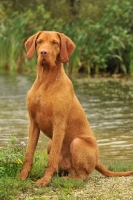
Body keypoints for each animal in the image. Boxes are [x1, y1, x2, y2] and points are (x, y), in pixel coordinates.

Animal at [19, 30, 133, 187]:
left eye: (55, 43)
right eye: (39, 42)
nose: (43, 52)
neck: (46, 81)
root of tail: (97, 160)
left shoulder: (59, 124)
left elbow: (52, 158)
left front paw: (45, 180)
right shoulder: (33, 123)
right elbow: (29, 153)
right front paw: (22, 177)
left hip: (77, 142)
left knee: (83, 176)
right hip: (50, 144)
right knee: (72, 171)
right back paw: (63, 176)